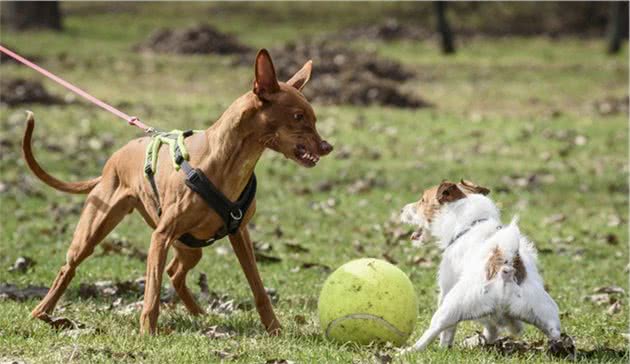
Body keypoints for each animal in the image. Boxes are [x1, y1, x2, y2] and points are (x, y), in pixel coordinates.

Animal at [22, 49, 334, 336]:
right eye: (298, 116)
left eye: (314, 118)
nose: (327, 147)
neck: (227, 163)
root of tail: (112, 161)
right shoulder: (160, 237)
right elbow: (152, 292)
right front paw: (147, 333)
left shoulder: (239, 234)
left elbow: (258, 288)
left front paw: (274, 329)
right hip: (94, 231)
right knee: (69, 268)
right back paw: (41, 312)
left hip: (190, 247)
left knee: (175, 273)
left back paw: (199, 314)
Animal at [400, 179, 564, 352]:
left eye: (423, 200)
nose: (401, 209)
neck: (471, 224)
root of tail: (505, 270)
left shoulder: (446, 287)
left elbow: (447, 333)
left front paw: (443, 348)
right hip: (544, 313)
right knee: (550, 333)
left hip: (451, 306)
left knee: (434, 331)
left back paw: (408, 351)